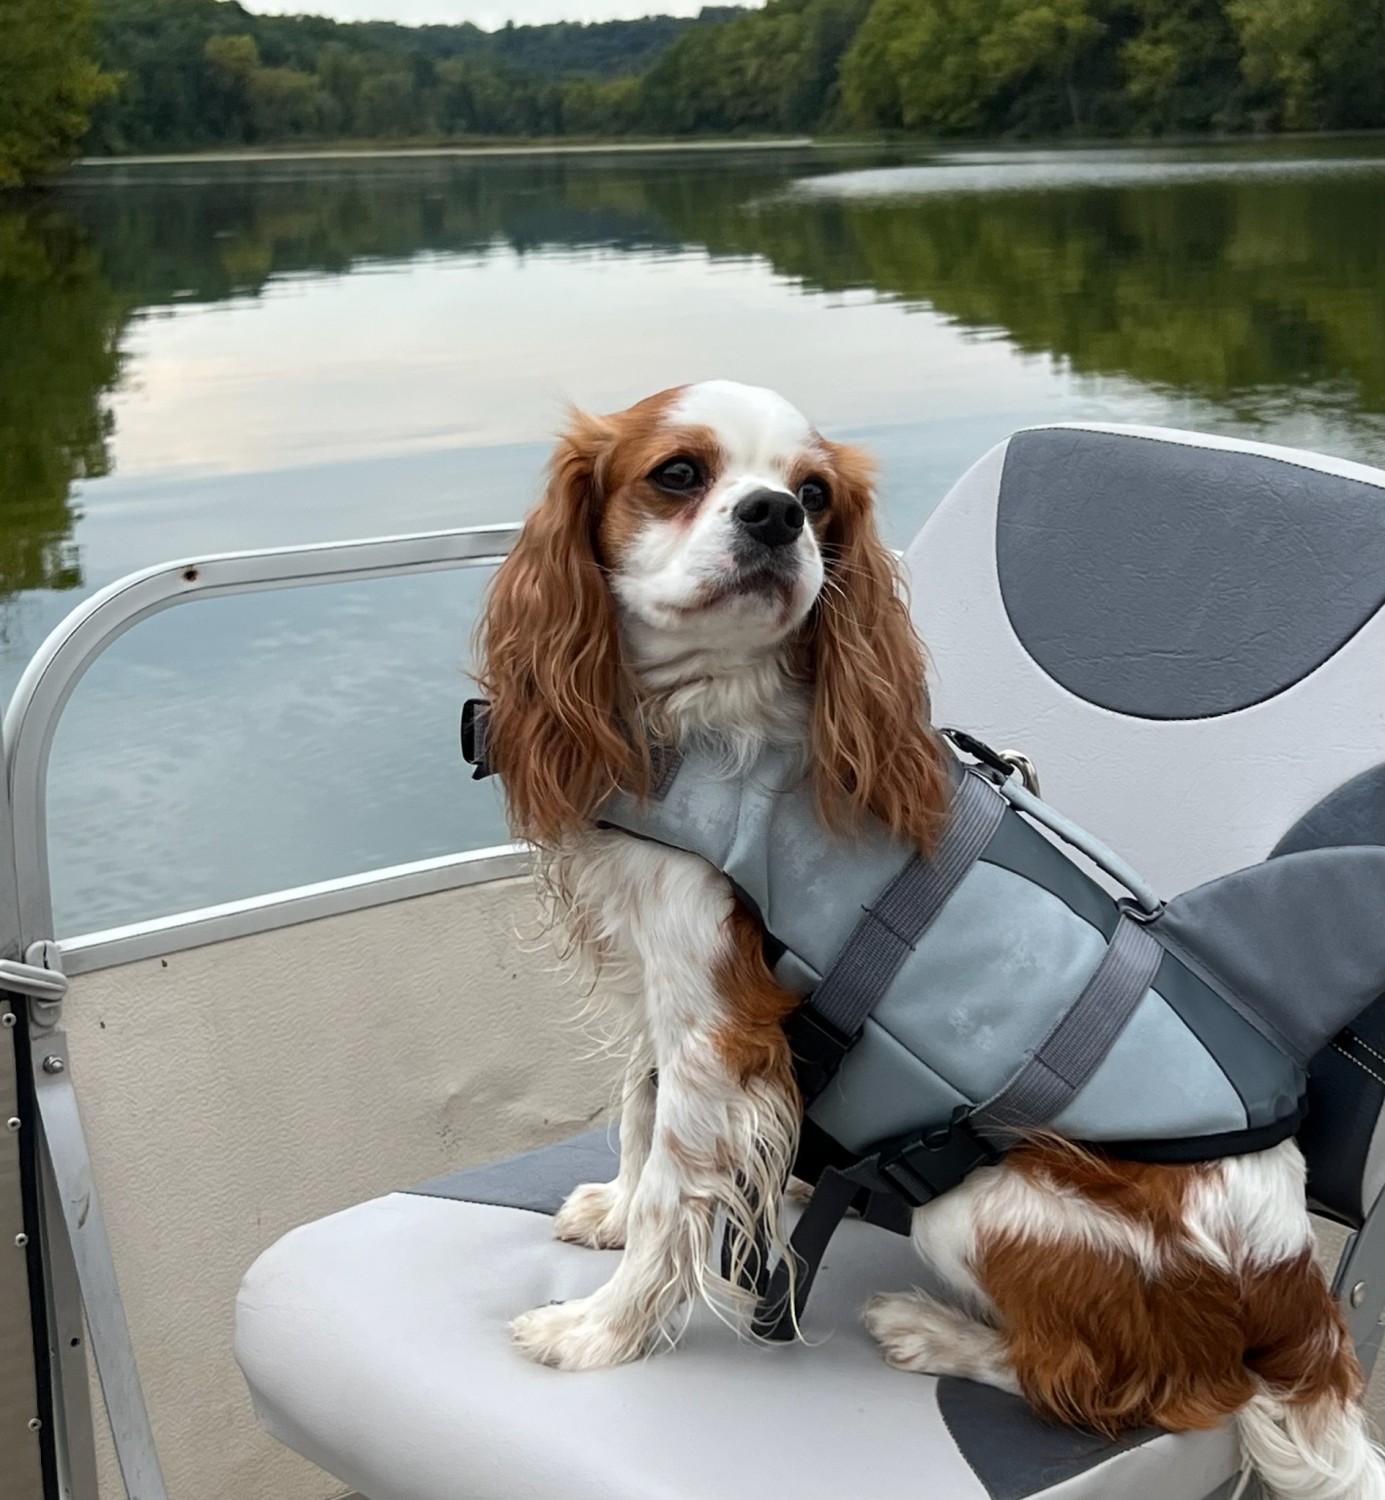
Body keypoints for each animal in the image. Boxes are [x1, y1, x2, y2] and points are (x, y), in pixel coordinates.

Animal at [477, 381, 1385, 1494]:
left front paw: (602, 1332)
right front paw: (611, 1207)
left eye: (812, 495)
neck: (704, 713)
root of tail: (1300, 1295)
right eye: (677, 474)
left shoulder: (717, 1026)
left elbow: (672, 1193)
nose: (772, 517)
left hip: (973, 1207)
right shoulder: (663, 983)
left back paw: (934, 1333)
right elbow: (638, 1119)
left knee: (1130, 1385)